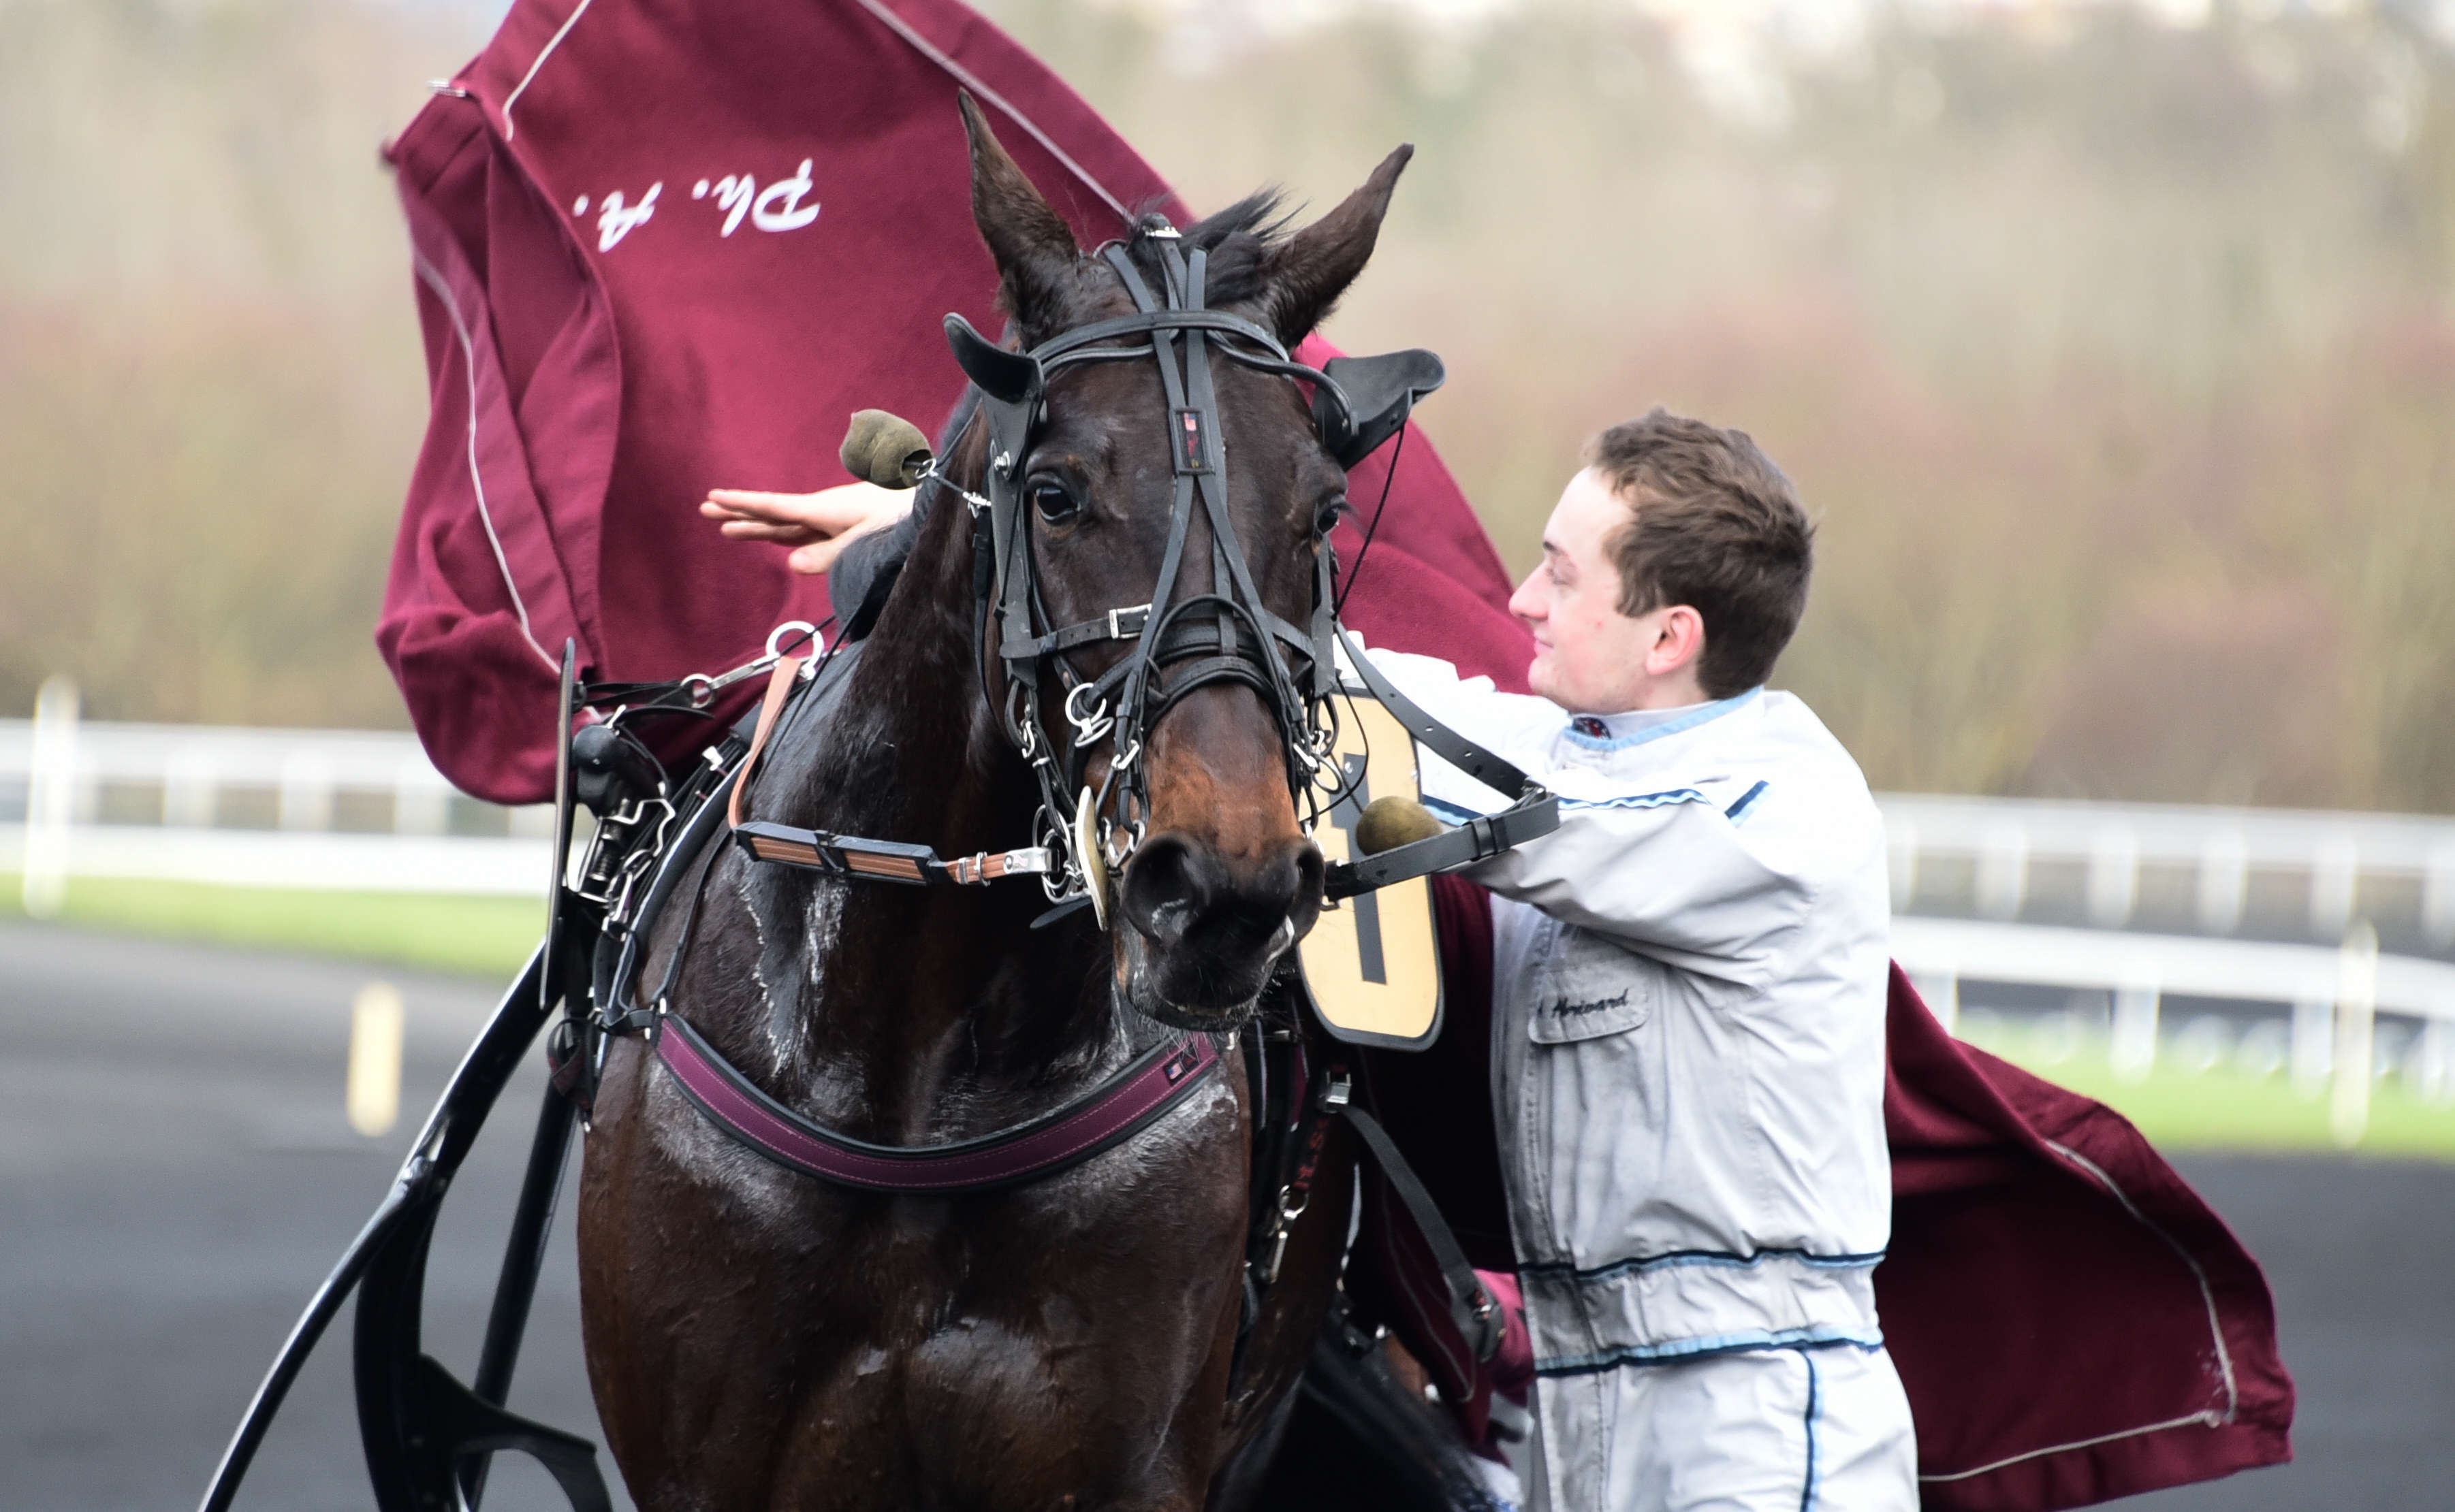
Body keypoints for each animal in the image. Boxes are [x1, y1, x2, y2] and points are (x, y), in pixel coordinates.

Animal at [569, 100, 1453, 1502]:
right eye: (1056, 494)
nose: (1222, 888)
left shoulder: (1126, 1454)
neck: (912, 1080)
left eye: (1324, 513)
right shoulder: (707, 1459)